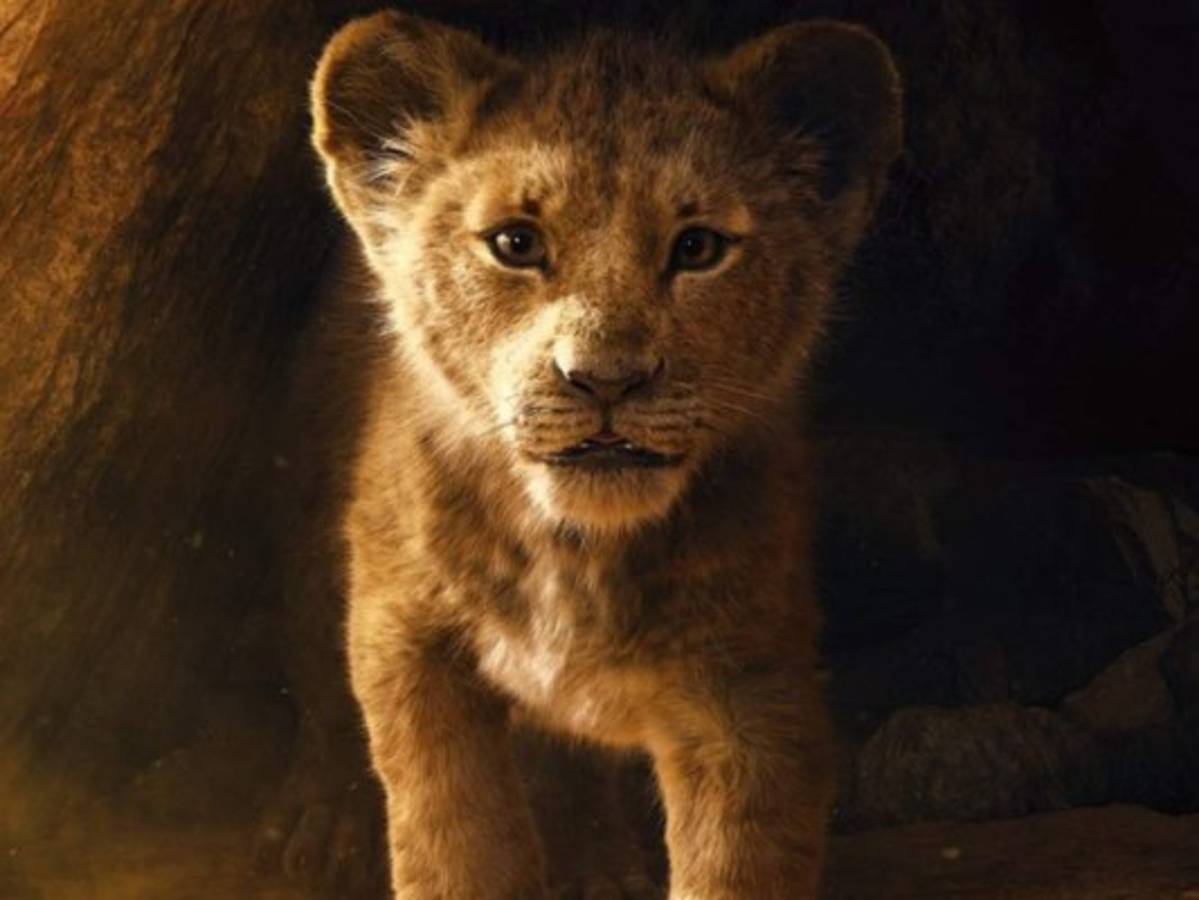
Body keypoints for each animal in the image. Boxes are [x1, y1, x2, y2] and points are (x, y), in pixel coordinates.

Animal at [307, 9, 901, 898]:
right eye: (515, 242)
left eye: (697, 248)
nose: (604, 379)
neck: (575, 549)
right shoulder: (404, 638)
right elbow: (453, 835)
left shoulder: (751, 690)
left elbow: (736, 863)